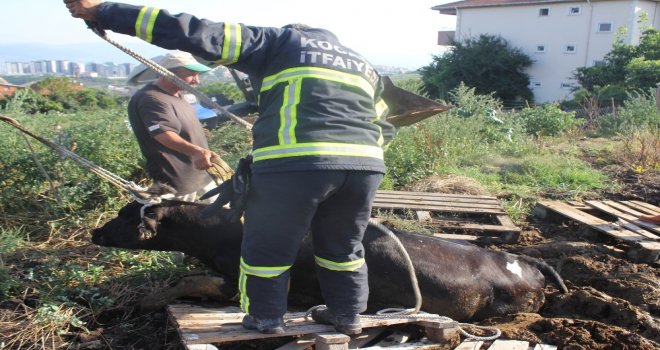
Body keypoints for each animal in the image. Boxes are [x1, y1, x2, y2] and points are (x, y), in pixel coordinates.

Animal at [93, 200, 568, 320]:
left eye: (124, 215)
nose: (96, 233)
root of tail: (531, 263)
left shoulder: (241, 279)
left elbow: (187, 282)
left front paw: (141, 303)